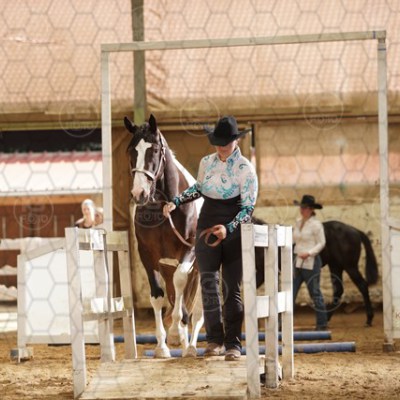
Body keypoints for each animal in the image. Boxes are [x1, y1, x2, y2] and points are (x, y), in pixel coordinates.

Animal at [124, 114, 204, 358]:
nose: (139, 194)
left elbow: (180, 284)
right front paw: (161, 346)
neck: (162, 208)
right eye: (131, 151)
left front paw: (176, 332)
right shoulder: (147, 255)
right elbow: (157, 296)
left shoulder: (189, 250)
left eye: (156, 150)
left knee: (197, 311)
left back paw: (191, 346)